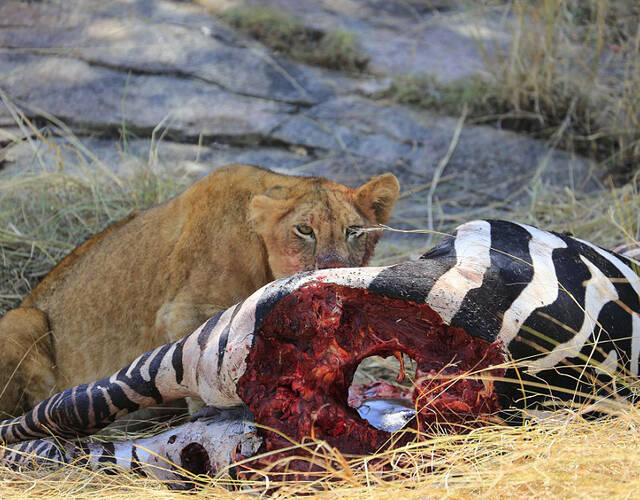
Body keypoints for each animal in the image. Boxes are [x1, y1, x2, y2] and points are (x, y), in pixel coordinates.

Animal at [0, 164, 400, 414]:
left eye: (353, 231)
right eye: (304, 229)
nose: (336, 267)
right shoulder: (183, 312)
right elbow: (196, 370)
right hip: (21, 320)